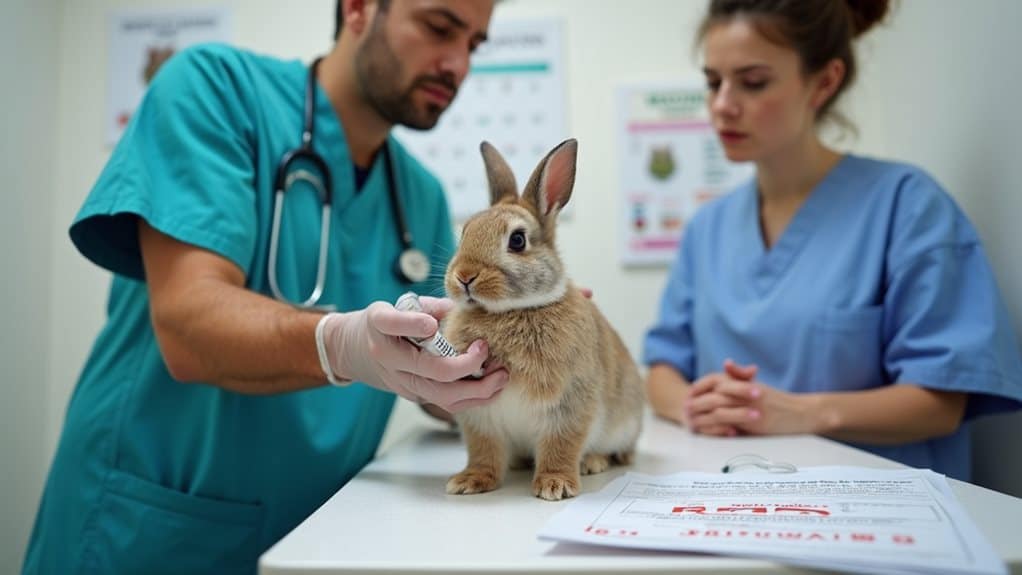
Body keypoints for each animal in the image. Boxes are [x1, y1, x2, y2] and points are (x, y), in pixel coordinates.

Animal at [441, 139, 645, 501]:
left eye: (517, 240)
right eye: (465, 232)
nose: (464, 276)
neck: (511, 311)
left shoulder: (568, 404)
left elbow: (560, 445)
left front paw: (555, 485)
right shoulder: (480, 416)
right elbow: (483, 451)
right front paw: (470, 481)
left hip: (622, 426)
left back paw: (592, 462)